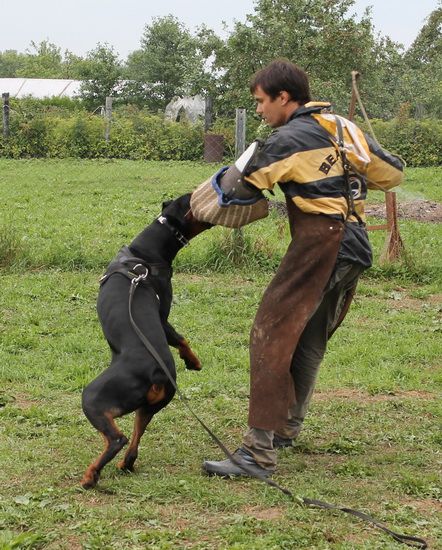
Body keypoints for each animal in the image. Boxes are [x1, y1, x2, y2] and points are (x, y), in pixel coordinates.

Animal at [81, 193, 212, 489]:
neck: (143, 254)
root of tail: (155, 372)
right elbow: (181, 338)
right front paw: (195, 362)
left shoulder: (163, 316)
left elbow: (180, 338)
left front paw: (193, 361)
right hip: (148, 408)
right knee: (134, 442)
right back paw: (124, 465)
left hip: (93, 398)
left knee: (118, 439)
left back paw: (91, 475)